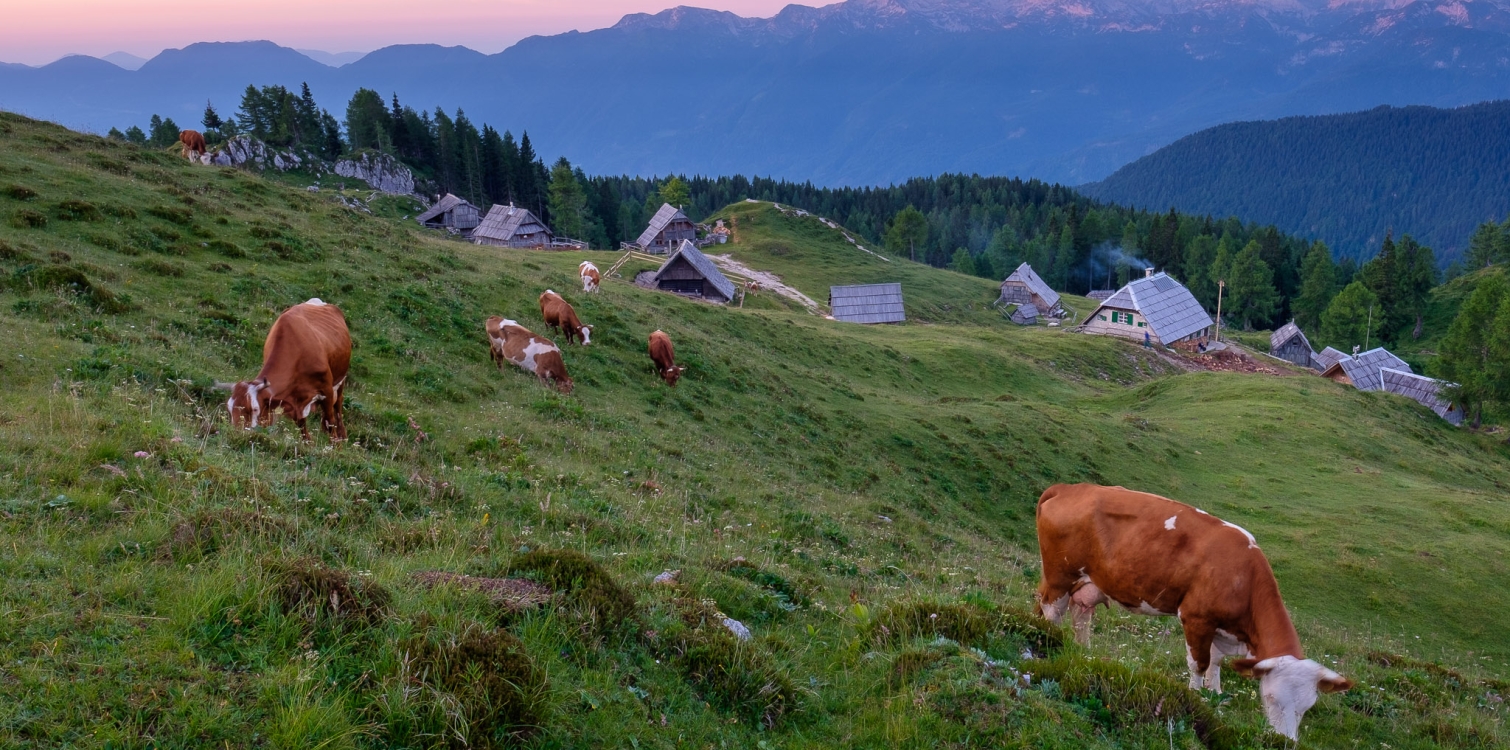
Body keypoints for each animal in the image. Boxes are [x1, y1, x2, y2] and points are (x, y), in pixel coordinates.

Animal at [215, 297, 350, 437]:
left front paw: (335, 442)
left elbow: (330, 422)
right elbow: (302, 426)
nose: (235, 434)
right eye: (229, 410)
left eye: (254, 409)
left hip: (340, 379)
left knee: (338, 407)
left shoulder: (326, 390)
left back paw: (342, 436)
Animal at [1032, 482, 1352, 739]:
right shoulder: (1196, 618)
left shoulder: (1221, 628)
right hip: (1060, 575)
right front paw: (1196, 696)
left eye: (1307, 707)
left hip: (1087, 582)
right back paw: (1051, 642)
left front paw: (1216, 693)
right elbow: (1199, 662)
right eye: (1271, 698)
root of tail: (1070, 487)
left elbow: (1216, 661)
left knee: (1078, 613)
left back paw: (1084, 652)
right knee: (1052, 610)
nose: (1285, 740)